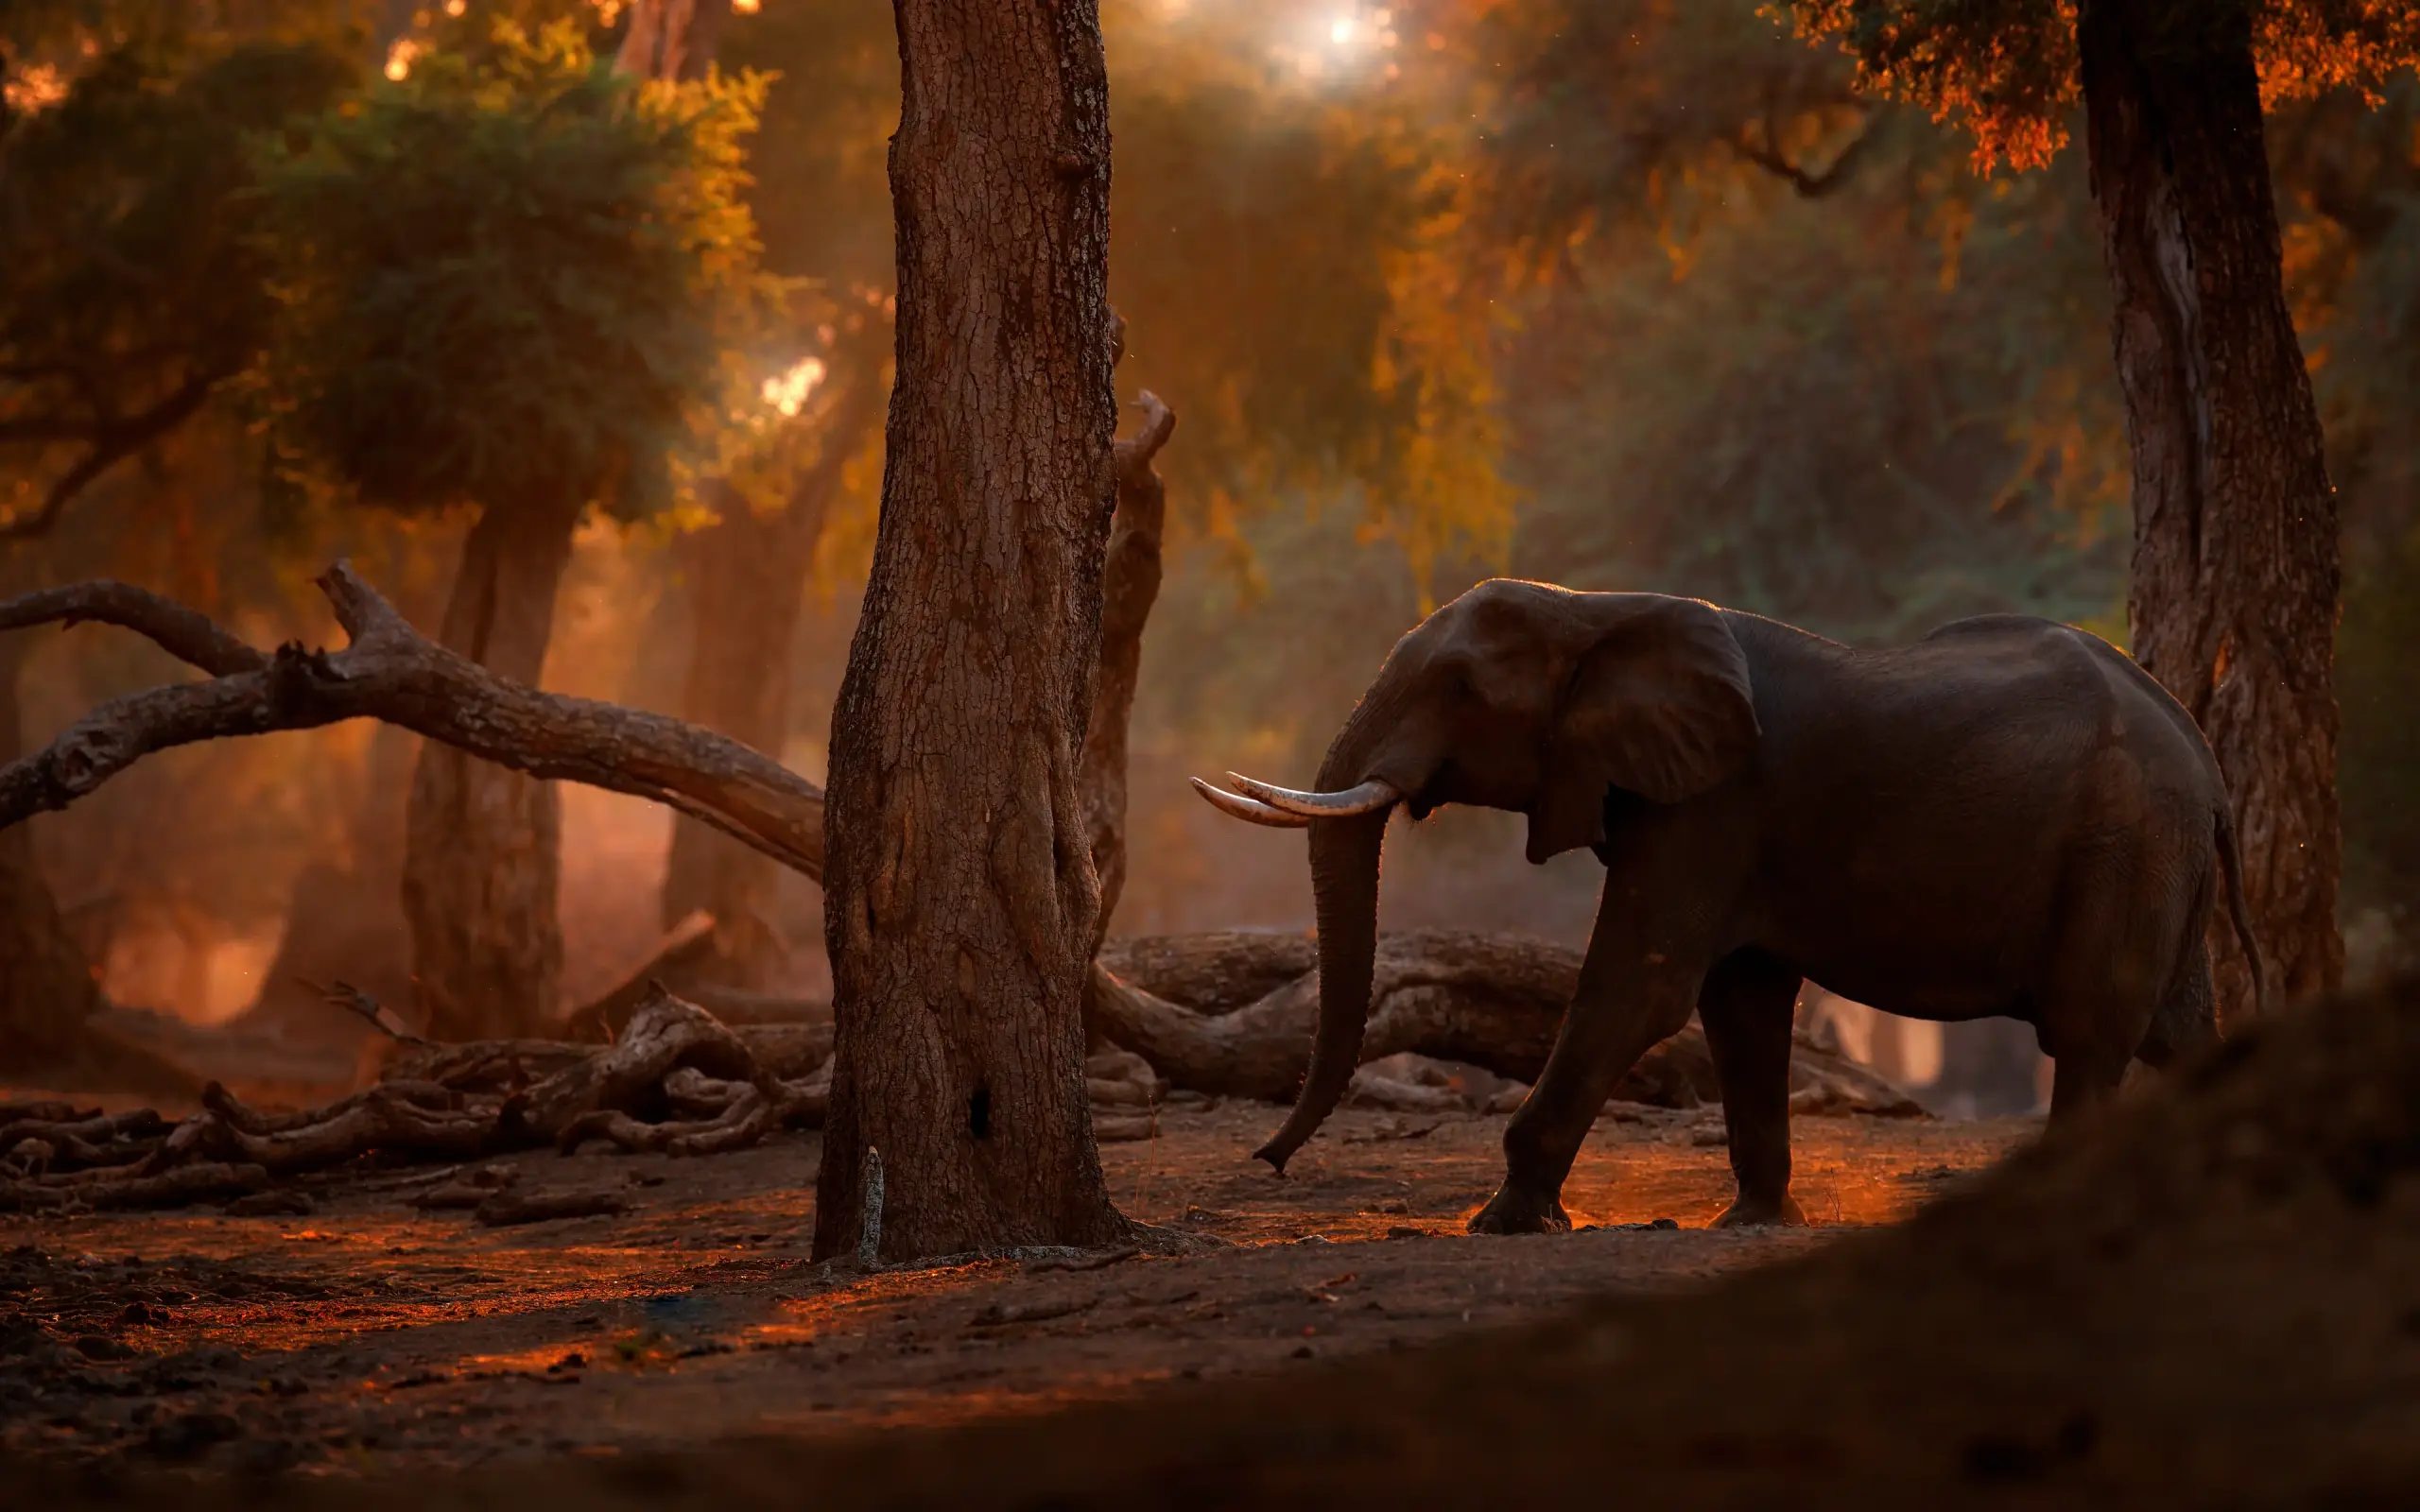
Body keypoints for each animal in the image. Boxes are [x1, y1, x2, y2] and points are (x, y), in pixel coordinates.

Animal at [1191, 578, 2262, 1232]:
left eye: (1457, 686)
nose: (1267, 1161)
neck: (1598, 609)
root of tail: (2206, 761)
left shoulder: (1711, 804)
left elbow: (1642, 987)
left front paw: (1503, 1223)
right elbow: (1737, 1004)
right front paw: (1753, 1221)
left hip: (2124, 845)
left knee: (2086, 1033)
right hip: (2156, 858)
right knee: (2175, 1031)